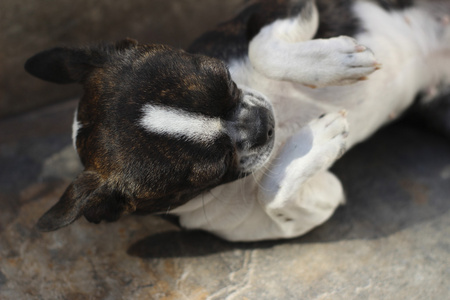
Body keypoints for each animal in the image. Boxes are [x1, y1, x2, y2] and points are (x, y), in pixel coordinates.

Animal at [25, 0, 450, 241]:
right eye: (212, 172)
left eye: (223, 77)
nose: (264, 123)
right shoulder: (307, 211)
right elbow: (271, 192)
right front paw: (316, 140)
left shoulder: (276, 7)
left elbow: (262, 48)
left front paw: (332, 61)